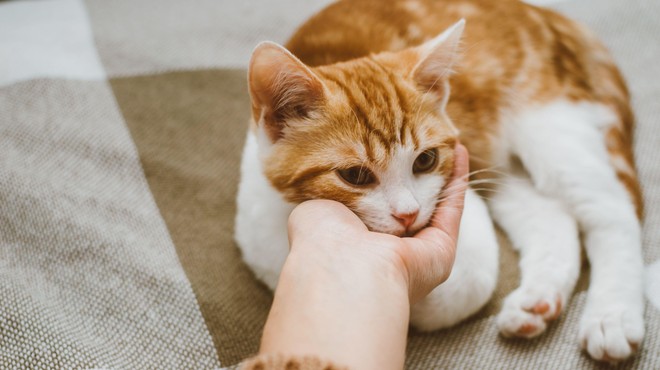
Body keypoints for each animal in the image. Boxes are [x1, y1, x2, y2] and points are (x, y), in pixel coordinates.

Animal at [233, 0, 644, 362]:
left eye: (425, 160)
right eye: (355, 175)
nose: (408, 214)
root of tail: (544, 13)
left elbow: (466, 285)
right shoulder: (259, 238)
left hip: (547, 119)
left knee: (610, 211)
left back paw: (613, 314)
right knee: (550, 214)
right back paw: (539, 299)